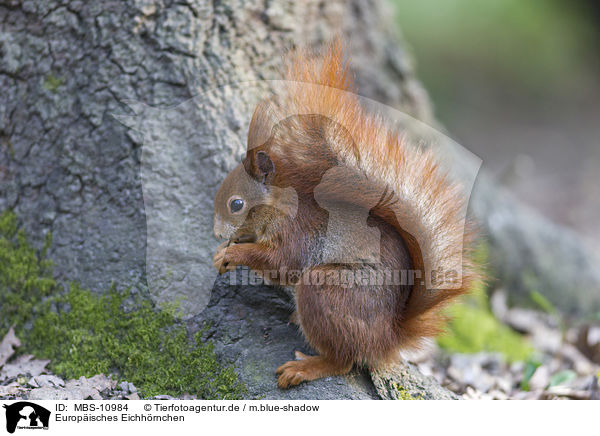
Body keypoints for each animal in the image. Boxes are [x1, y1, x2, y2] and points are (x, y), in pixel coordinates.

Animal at [213, 41, 476, 388]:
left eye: (236, 204)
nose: (216, 233)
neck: (279, 206)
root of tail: (387, 338)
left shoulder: (297, 233)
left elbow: (279, 263)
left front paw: (233, 254)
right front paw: (224, 249)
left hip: (327, 290)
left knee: (344, 361)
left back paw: (305, 367)